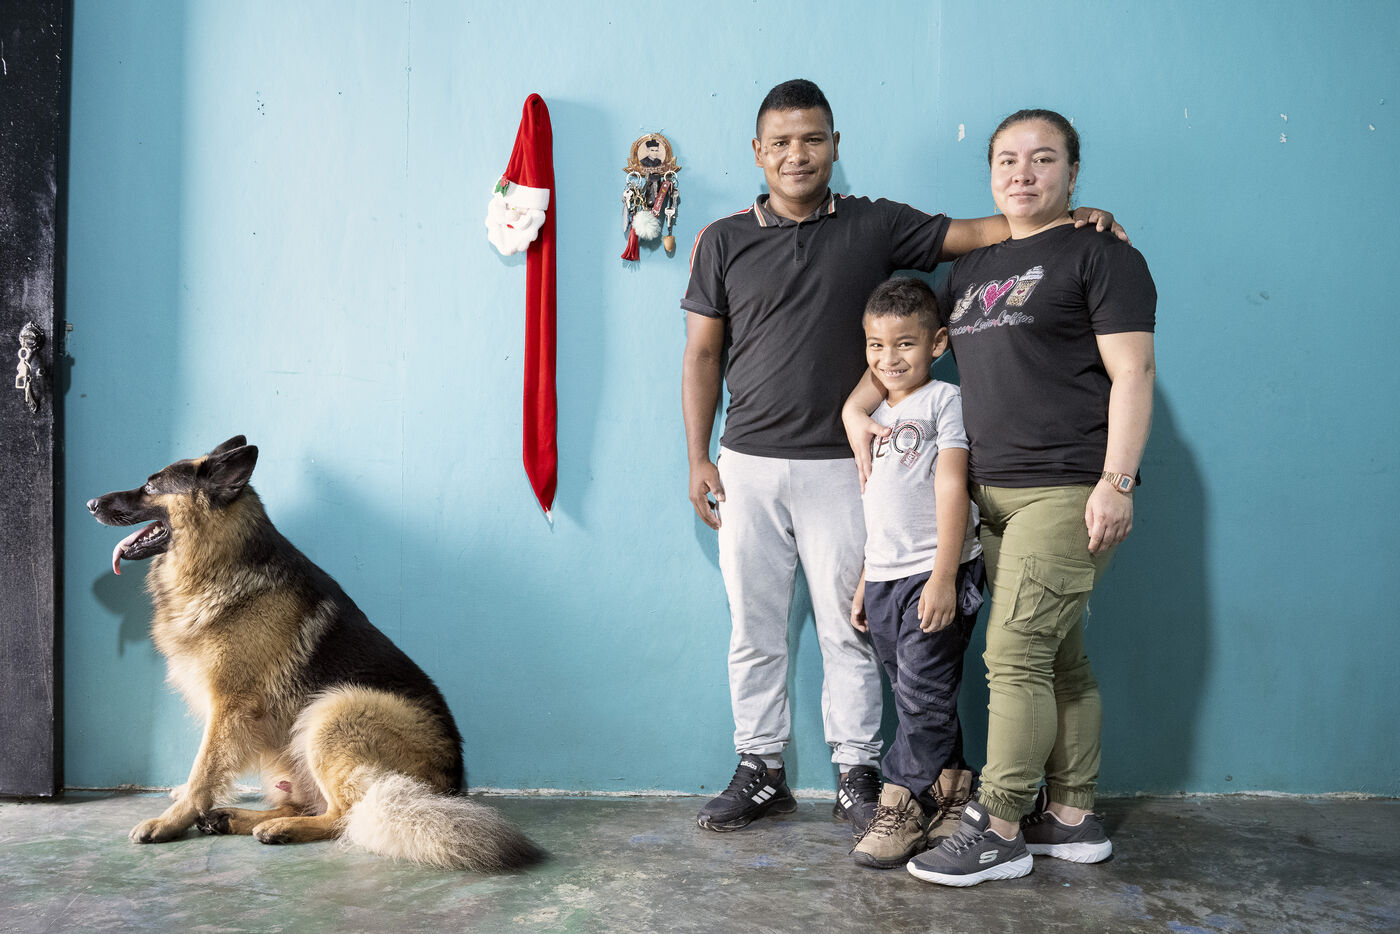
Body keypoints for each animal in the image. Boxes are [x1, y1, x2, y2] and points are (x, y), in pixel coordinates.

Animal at [87, 436, 542, 871]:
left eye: (151, 486)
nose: (91, 504)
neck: (223, 560)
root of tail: (448, 787)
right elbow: (205, 769)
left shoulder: (229, 707)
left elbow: (204, 770)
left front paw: (171, 820)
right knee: (310, 804)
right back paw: (237, 818)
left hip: (333, 711)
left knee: (346, 815)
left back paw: (280, 828)